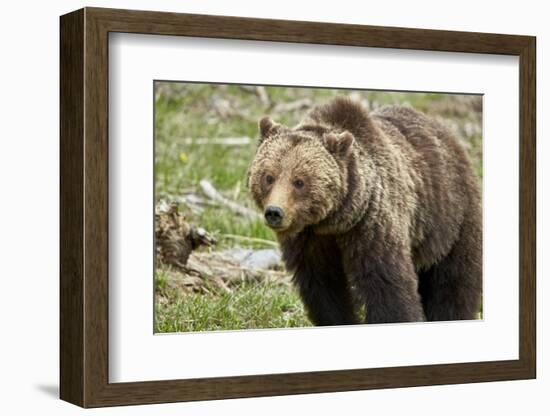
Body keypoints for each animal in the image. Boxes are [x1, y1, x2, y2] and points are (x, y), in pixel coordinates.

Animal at [247, 97, 484, 324]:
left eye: (299, 181)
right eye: (269, 177)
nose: (275, 212)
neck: (332, 222)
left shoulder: (371, 225)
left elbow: (385, 283)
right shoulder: (308, 240)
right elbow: (324, 287)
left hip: (450, 218)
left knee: (453, 282)